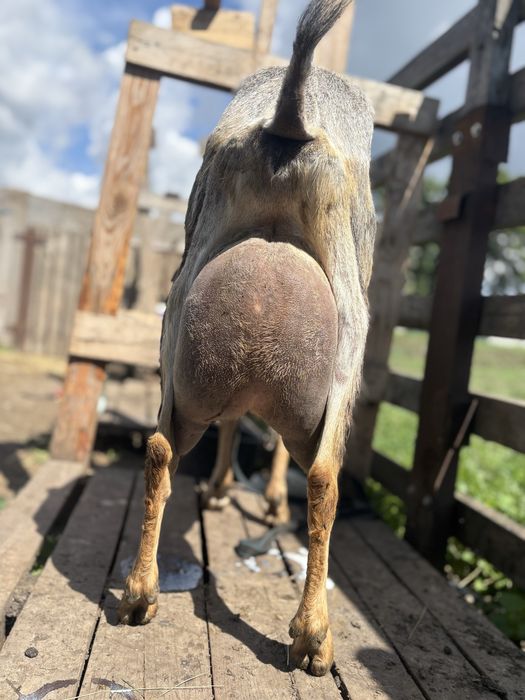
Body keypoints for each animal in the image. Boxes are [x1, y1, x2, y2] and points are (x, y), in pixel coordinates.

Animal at [119, 0, 376, 676]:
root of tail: (289, 120)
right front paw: (259, 498)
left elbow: (234, 427)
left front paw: (221, 488)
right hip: (350, 336)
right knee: (324, 475)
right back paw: (313, 638)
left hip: (182, 330)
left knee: (161, 448)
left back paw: (139, 594)